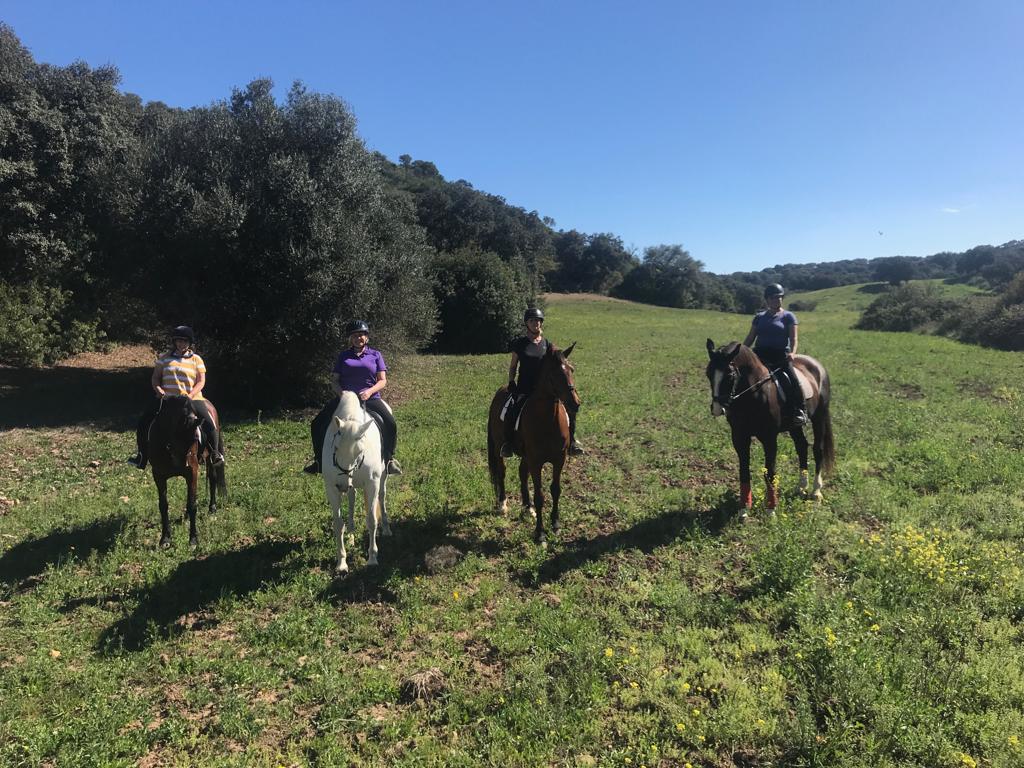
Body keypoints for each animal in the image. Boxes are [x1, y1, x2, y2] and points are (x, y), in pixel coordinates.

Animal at [148, 395, 227, 548]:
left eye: (197, 439)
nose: (184, 463)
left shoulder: (192, 472)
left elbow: (192, 504)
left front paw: (193, 540)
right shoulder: (158, 475)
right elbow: (163, 505)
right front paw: (165, 539)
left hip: (209, 459)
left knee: (213, 478)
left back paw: (212, 508)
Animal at [322, 391, 391, 575]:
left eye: (359, 451)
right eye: (335, 448)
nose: (342, 484)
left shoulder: (372, 483)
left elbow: (372, 519)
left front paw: (372, 558)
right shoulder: (331, 487)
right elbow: (338, 524)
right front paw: (341, 563)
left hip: (382, 477)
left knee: (382, 497)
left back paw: (387, 529)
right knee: (352, 498)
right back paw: (351, 536)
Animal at [487, 343, 579, 545]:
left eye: (571, 369)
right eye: (554, 374)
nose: (575, 403)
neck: (548, 420)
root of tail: (501, 390)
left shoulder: (559, 459)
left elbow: (555, 490)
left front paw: (556, 524)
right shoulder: (537, 462)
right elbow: (540, 496)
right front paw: (540, 533)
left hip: (526, 455)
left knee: (522, 472)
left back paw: (527, 508)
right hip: (498, 447)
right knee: (502, 472)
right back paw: (503, 504)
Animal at [705, 339, 835, 517]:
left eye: (730, 375)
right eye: (708, 373)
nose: (717, 408)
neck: (753, 393)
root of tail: (817, 365)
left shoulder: (769, 438)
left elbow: (770, 472)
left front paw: (771, 510)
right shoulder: (739, 437)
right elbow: (743, 471)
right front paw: (744, 508)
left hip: (819, 417)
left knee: (817, 449)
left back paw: (815, 491)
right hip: (794, 426)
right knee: (801, 446)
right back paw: (801, 487)